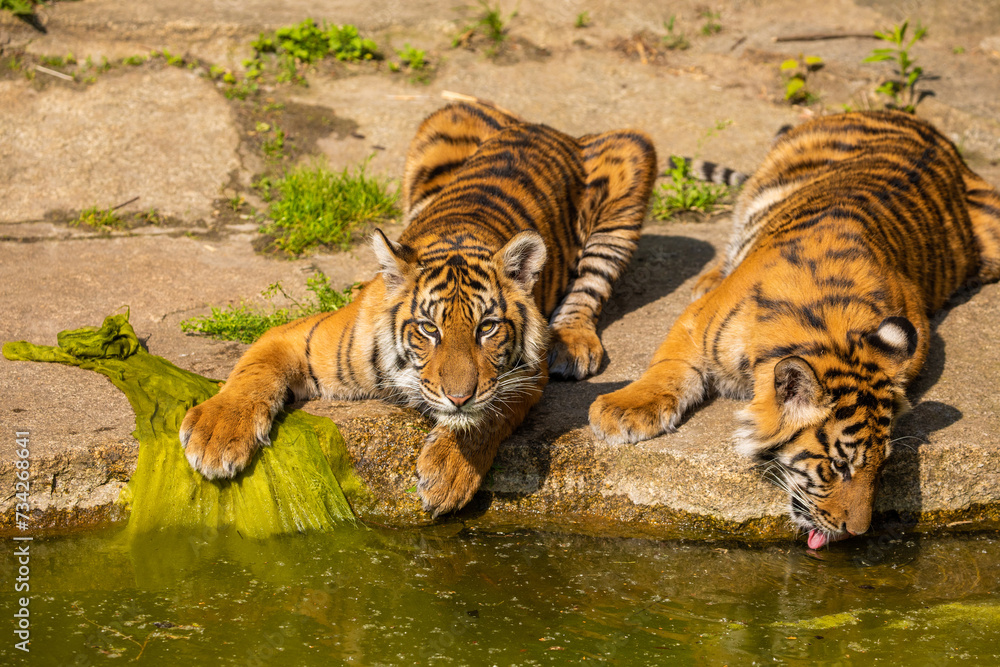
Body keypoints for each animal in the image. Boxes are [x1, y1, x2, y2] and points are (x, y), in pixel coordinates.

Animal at [181, 101, 657, 516]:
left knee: (591, 281)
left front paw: (448, 475)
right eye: (428, 328)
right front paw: (217, 436)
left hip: (635, 153)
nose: (459, 396)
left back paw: (572, 343)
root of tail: (545, 126)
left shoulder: (525, 375)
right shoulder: (299, 337)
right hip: (444, 122)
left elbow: (488, 415)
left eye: (487, 327)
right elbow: (252, 374)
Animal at [589, 110, 1000, 549]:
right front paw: (622, 412)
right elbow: (667, 367)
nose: (857, 532)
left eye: (882, 467)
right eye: (838, 465)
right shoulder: (696, 321)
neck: (832, 329)